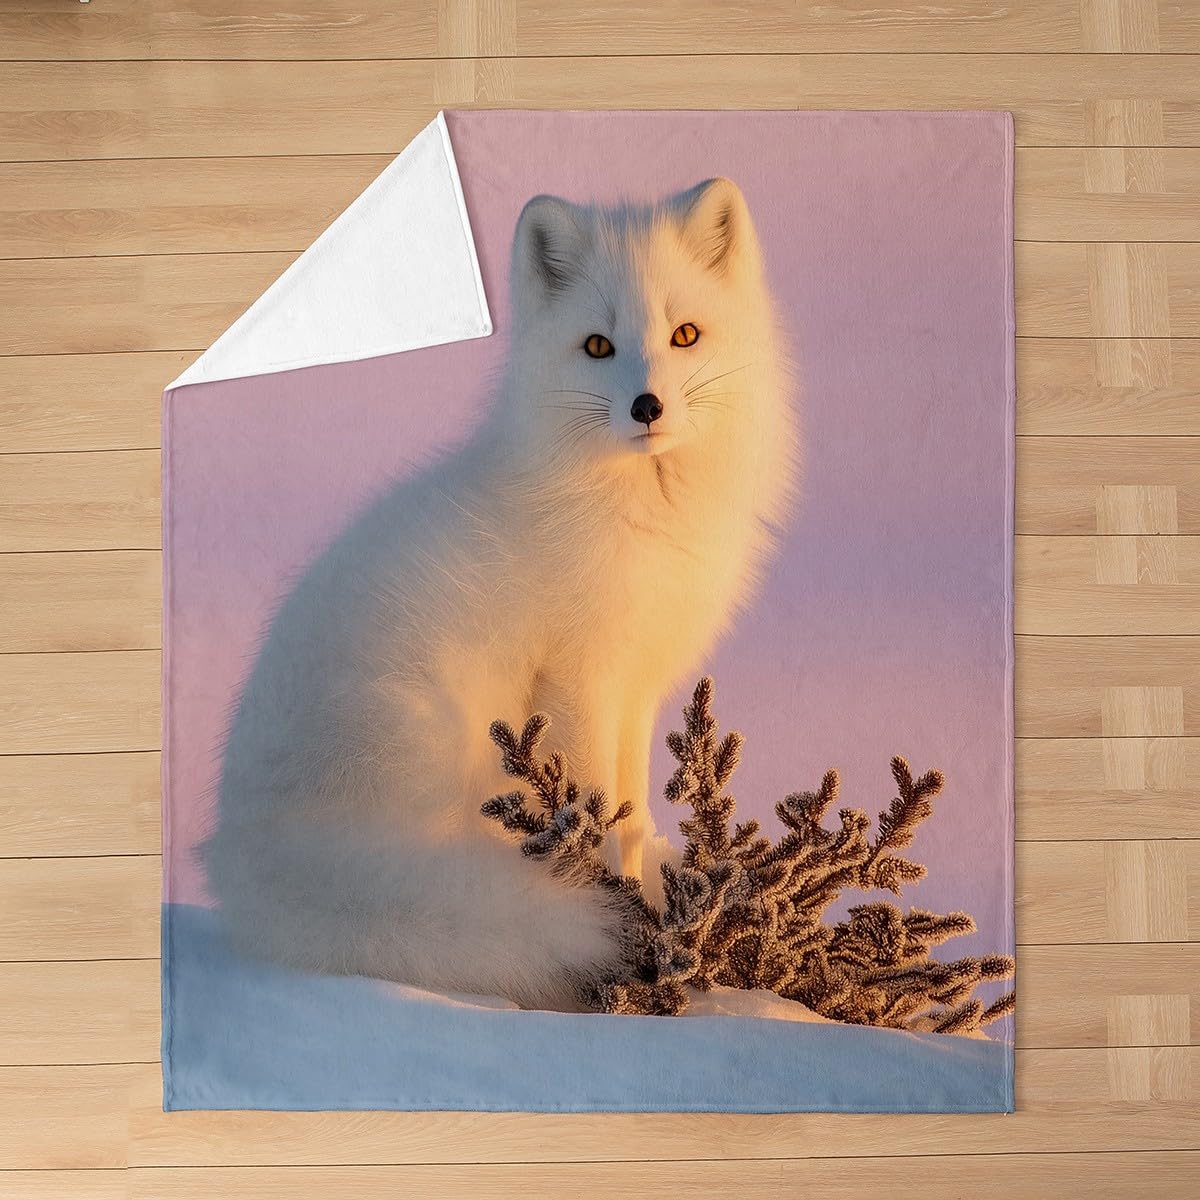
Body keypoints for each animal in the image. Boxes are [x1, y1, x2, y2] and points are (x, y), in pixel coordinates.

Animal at [201, 177, 799, 1011]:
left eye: (685, 334)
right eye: (597, 346)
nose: (647, 406)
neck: (633, 507)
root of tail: (247, 859)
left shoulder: (636, 687)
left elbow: (634, 808)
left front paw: (650, 893)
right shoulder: (579, 681)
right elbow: (597, 807)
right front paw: (623, 908)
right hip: (436, 738)